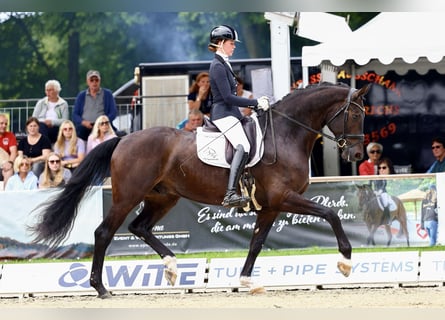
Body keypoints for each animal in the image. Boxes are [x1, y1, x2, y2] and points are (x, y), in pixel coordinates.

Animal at [31, 82, 370, 298]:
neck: (287, 134)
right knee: (104, 233)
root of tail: (124, 138)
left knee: (140, 227)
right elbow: (330, 213)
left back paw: (171, 268)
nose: (355, 155)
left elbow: (256, 243)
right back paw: (101, 288)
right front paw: (345, 261)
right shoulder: (283, 198)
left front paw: (247, 282)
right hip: (128, 196)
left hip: (163, 197)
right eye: (355, 114)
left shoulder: (271, 206)